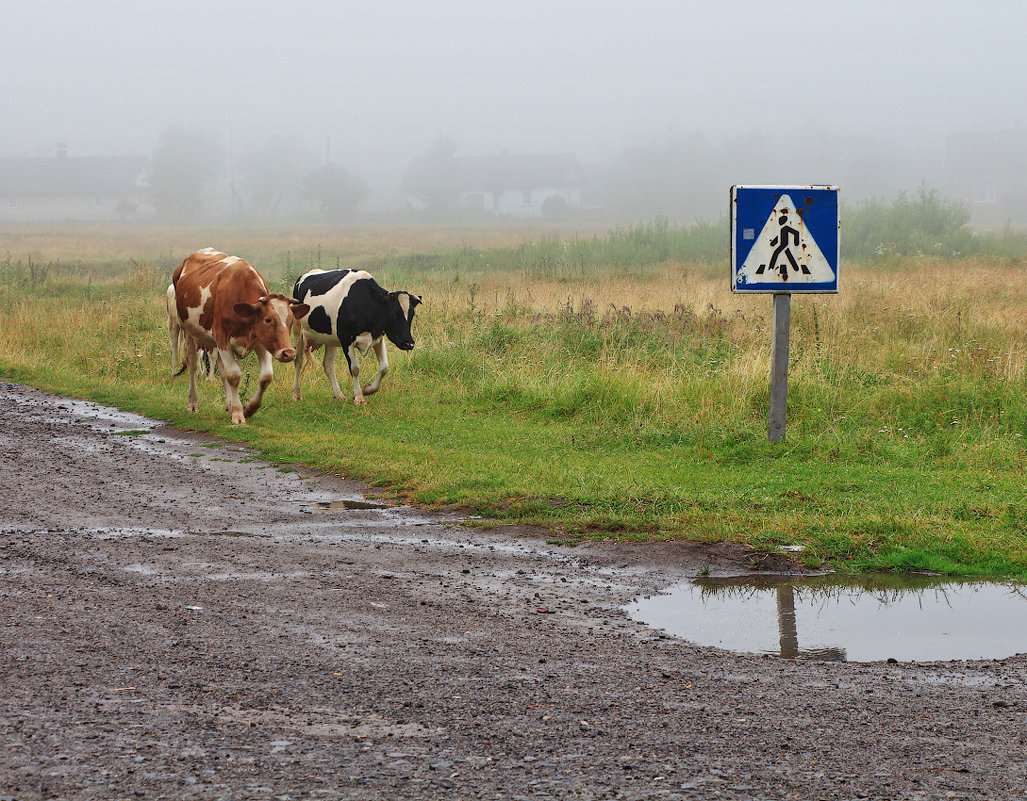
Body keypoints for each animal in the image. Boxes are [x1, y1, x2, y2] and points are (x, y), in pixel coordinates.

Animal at [171, 248, 308, 425]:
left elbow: (266, 377)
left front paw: (248, 408)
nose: (289, 353)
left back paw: (229, 405)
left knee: (222, 372)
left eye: (291, 321)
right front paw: (238, 413)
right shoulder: (222, 338)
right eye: (268, 319)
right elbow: (234, 375)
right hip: (187, 331)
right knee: (193, 365)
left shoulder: (261, 342)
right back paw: (193, 403)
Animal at [289, 271, 421, 406]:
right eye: (393, 314)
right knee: (298, 361)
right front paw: (359, 397)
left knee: (328, 365)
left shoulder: (378, 337)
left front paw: (368, 389)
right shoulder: (346, 339)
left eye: (412, 314)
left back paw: (338, 395)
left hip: (330, 339)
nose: (409, 344)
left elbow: (384, 367)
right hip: (298, 331)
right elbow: (355, 368)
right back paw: (296, 394)